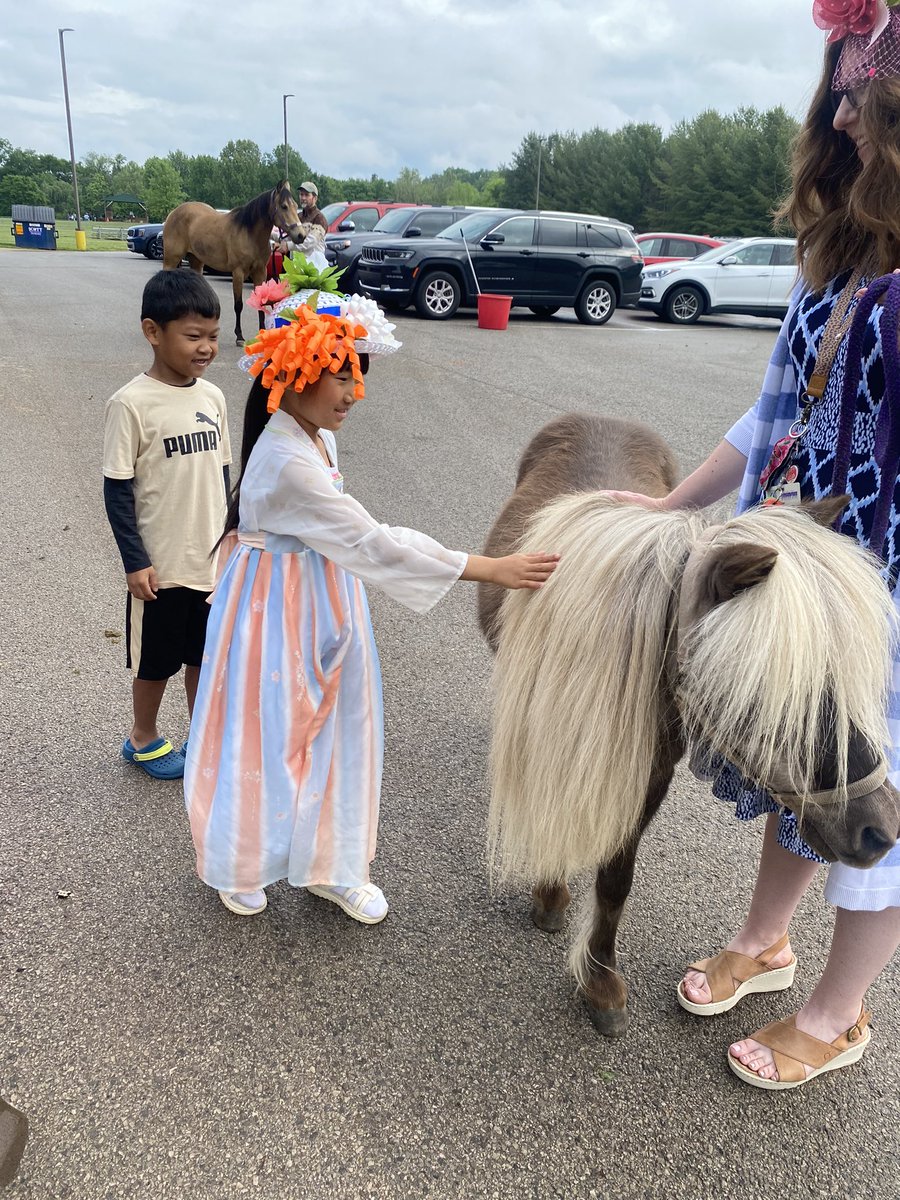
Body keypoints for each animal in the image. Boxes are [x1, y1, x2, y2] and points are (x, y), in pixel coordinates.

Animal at [168, 180, 309, 345]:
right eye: (284, 206)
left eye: (295, 205)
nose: (301, 235)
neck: (249, 233)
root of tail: (173, 213)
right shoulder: (238, 273)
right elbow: (238, 305)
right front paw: (239, 336)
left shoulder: (260, 272)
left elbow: (261, 302)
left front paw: (262, 332)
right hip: (171, 259)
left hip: (196, 261)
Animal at [482, 410, 897, 1032]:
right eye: (768, 687)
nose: (881, 829)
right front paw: (552, 897)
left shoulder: (650, 771)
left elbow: (616, 878)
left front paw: (599, 982)